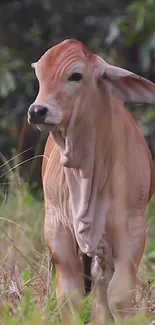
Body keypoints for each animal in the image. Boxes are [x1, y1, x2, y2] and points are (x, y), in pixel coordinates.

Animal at [27, 39, 155, 322]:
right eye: (39, 76)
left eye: (76, 75)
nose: (38, 111)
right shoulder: (57, 229)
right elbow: (70, 297)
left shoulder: (132, 229)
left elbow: (119, 296)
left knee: (102, 289)